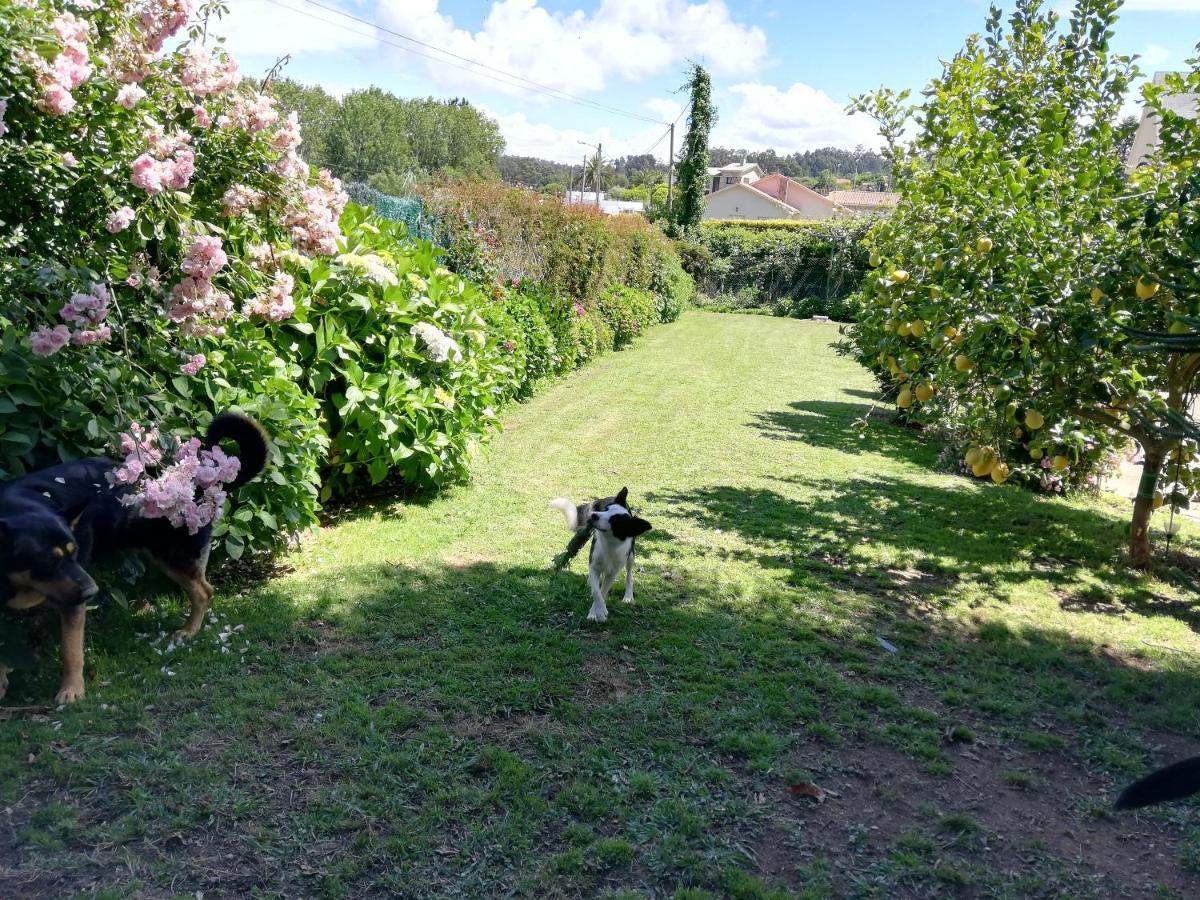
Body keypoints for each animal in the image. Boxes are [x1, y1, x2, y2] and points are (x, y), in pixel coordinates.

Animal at [0, 415, 267, 705]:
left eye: (74, 553)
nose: (92, 591)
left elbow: (70, 651)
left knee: (204, 591)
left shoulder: (72, 603)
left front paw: (71, 690)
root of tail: (200, 481)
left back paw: (189, 630)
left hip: (172, 555)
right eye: (49, 562)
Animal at [549, 489, 652, 624]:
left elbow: (603, 591)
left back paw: (628, 596)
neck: (609, 544)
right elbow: (596, 591)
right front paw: (597, 612)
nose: (593, 515)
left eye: (615, 521)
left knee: (629, 575)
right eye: (606, 509)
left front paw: (598, 612)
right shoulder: (594, 565)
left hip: (630, 555)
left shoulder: (612, 572)